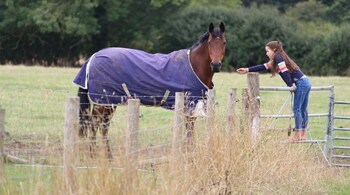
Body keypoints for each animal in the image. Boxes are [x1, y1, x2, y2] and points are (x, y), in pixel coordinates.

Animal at [74, 22, 227, 158]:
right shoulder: (189, 105)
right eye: (210, 43)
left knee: (103, 126)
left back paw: (107, 156)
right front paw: (190, 154)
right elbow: (190, 131)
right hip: (101, 102)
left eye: (224, 43)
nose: (216, 65)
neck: (194, 66)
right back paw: (94, 155)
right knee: (94, 124)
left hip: (109, 102)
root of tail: (93, 57)